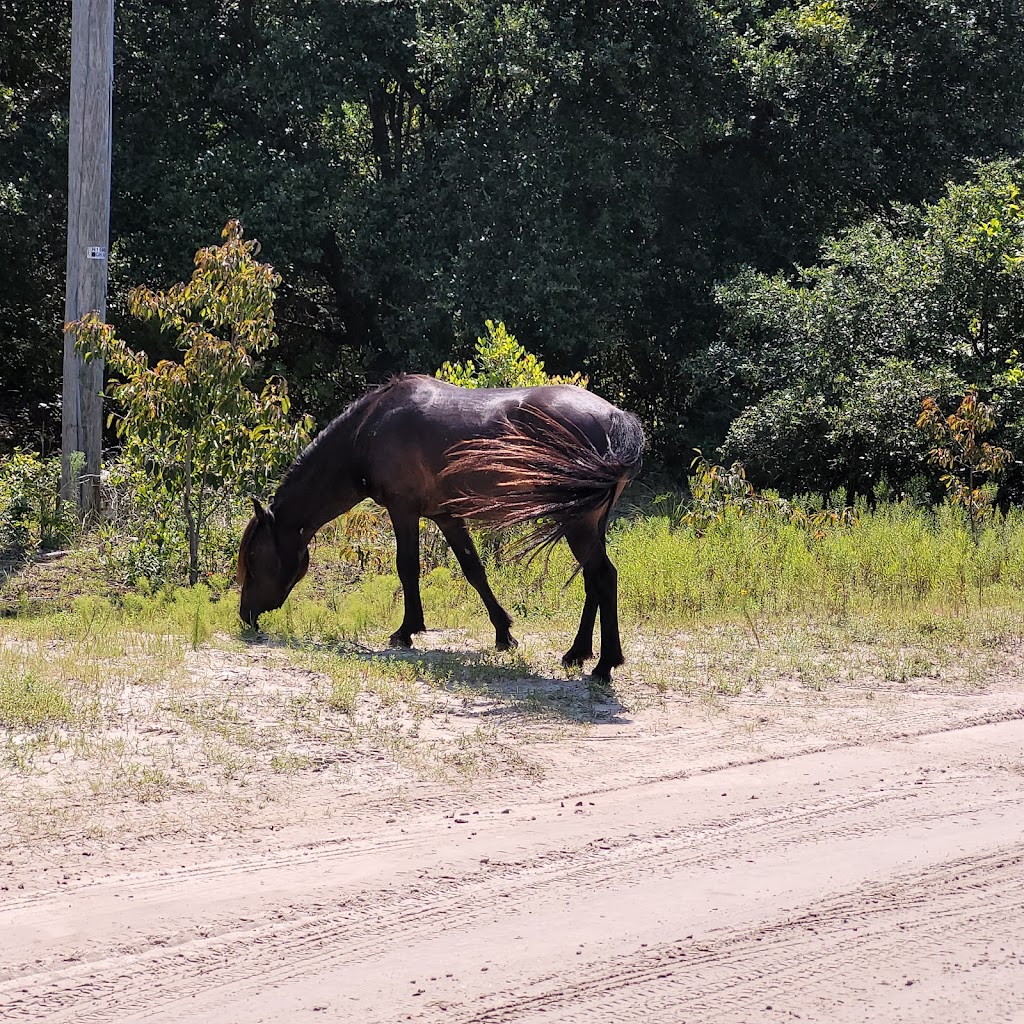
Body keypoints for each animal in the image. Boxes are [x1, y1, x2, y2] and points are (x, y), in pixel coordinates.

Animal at [235, 374, 643, 679]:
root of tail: (615, 416)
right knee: (593, 580)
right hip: (588, 523)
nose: (245, 616)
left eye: (254, 558)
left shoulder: (403, 510)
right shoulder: (447, 515)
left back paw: (605, 665)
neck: (368, 428)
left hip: (578, 523)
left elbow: (407, 568)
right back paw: (577, 653)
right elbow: (474, 570)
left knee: (603, 577)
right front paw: (503, 633)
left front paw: (406, 631)